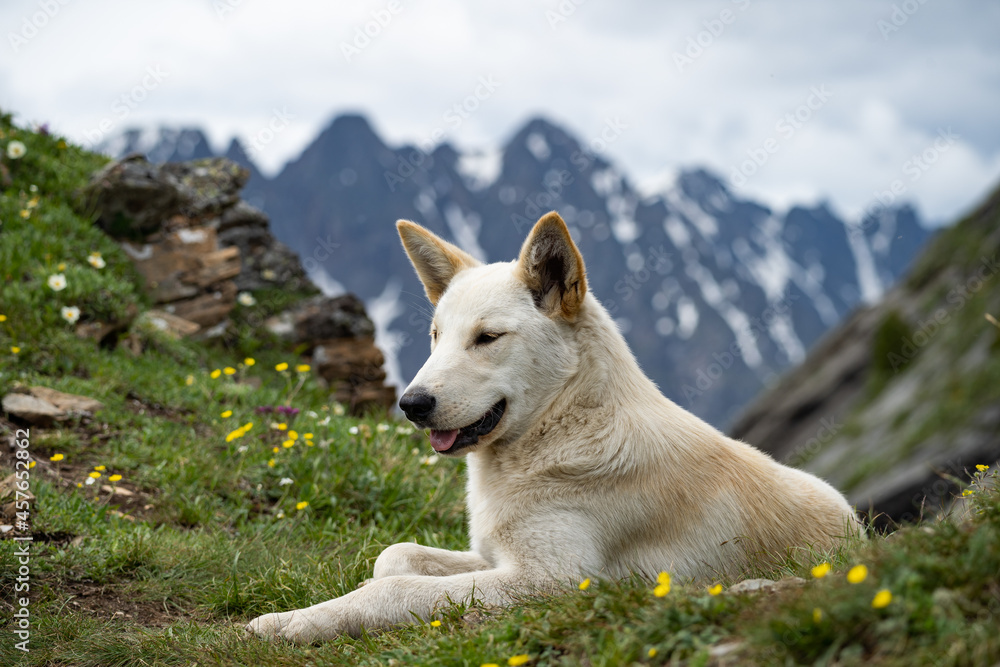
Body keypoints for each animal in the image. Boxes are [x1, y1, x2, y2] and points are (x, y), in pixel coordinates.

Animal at [248, 213, 860, 640]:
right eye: (436, 336)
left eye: (487, 338)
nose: (410, 403)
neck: (561, 431)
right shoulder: (497, 557)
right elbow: (394, 557)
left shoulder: (552, 580)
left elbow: (395, 589)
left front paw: (294, 622)